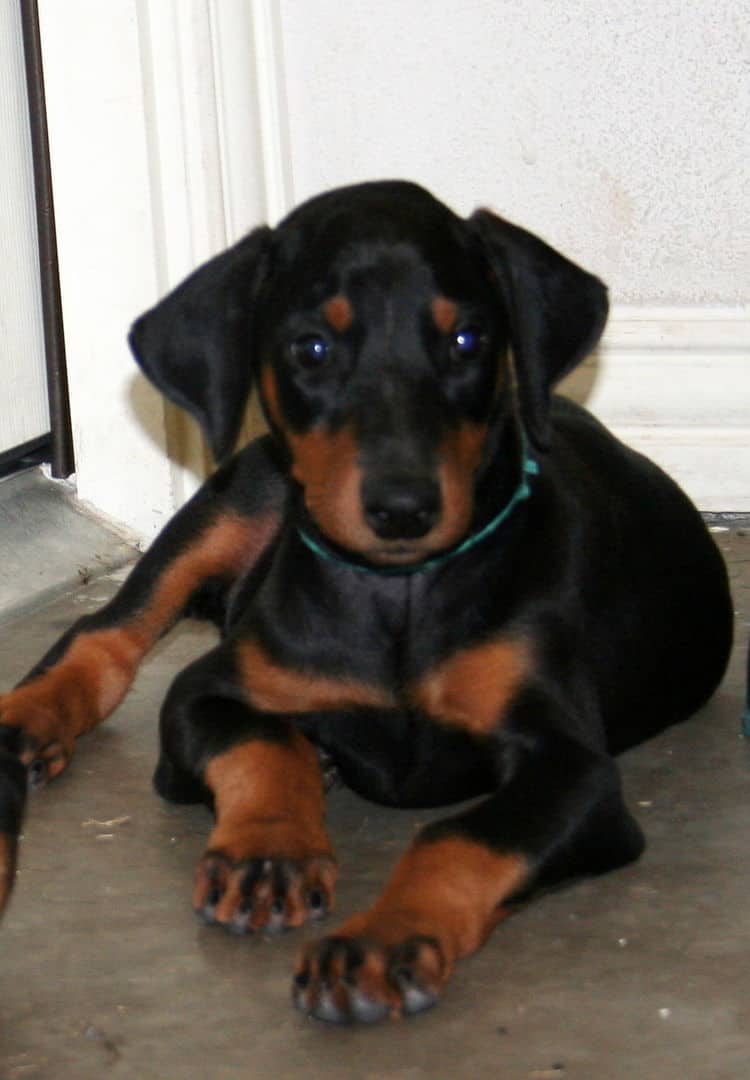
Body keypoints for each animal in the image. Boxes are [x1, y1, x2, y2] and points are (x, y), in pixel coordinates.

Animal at [0, 179, 734, 1019]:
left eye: (468, 340)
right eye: (312, 348)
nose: (404, 508)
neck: (398, 596)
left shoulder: (576, 771)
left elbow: (455, 836)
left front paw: (383, 939)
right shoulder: (204, 691)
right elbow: (264, 738)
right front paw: (269, 850)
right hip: (243, 489)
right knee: (108, 630)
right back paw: (25, 723)